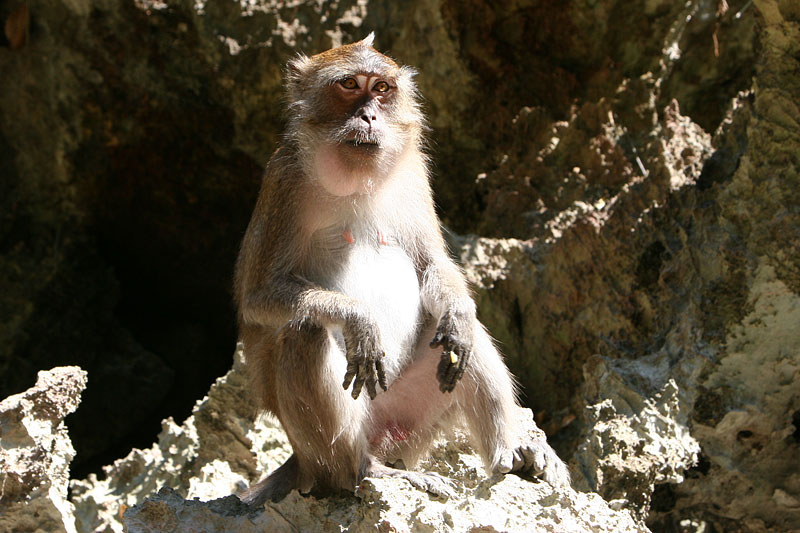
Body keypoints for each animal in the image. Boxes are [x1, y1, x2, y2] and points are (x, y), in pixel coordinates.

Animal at [234, 33, 569, 506]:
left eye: (381, 89)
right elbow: (259, 299)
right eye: (350, 85)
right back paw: (363, 471)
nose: (369, 115)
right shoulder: (284, 182)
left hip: (409, 417)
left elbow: (433, 267)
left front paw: (457, 313)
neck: (356, 180)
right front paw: (359, 318)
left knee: (459, 338)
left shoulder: (414, 173)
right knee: (305, 332)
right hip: (341, 438)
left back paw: (511, 451)